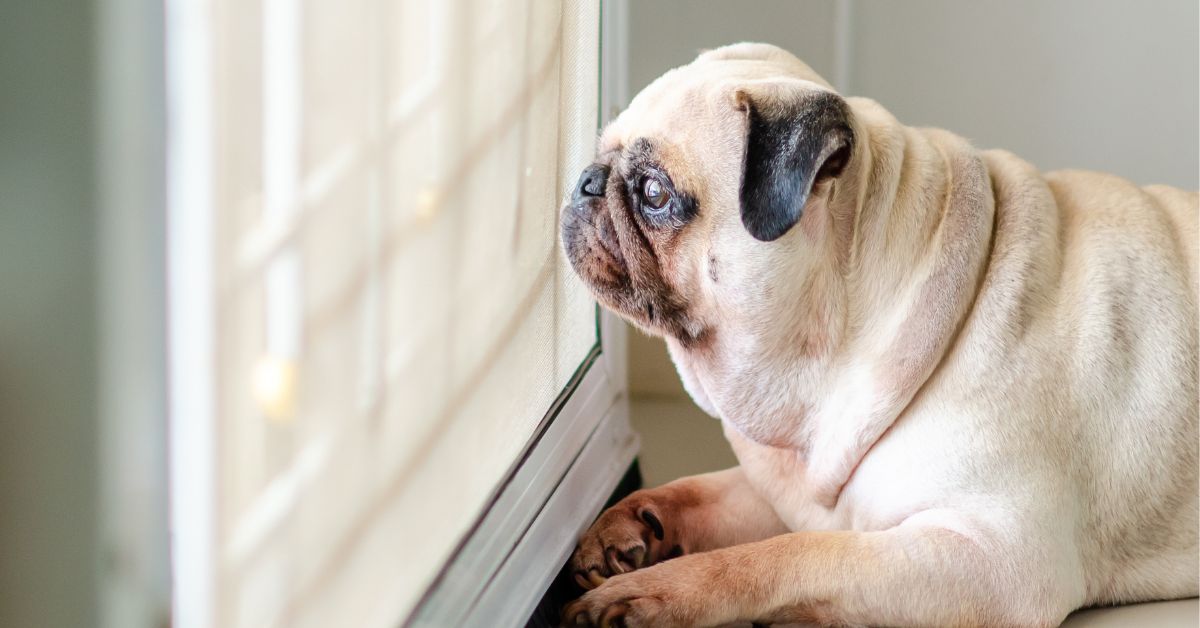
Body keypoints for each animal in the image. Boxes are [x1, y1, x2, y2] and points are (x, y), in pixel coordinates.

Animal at [556, 41, 1195, 624]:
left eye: (654, 193)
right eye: (601, 156)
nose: (587, 181)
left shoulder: (996, 558)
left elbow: (786, 555)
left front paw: (655, 595)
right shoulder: (799, 491)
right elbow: (701, 490)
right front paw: (629, 522)